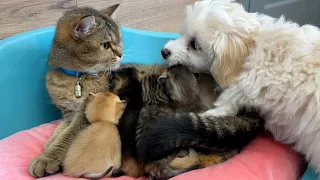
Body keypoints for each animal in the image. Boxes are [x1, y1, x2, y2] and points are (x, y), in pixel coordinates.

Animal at [161, 0, 320, 173]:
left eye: (195, 45)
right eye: (182, 33)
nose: (164, 51)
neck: (250, 47)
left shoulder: (242, 89)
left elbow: (222, 107)